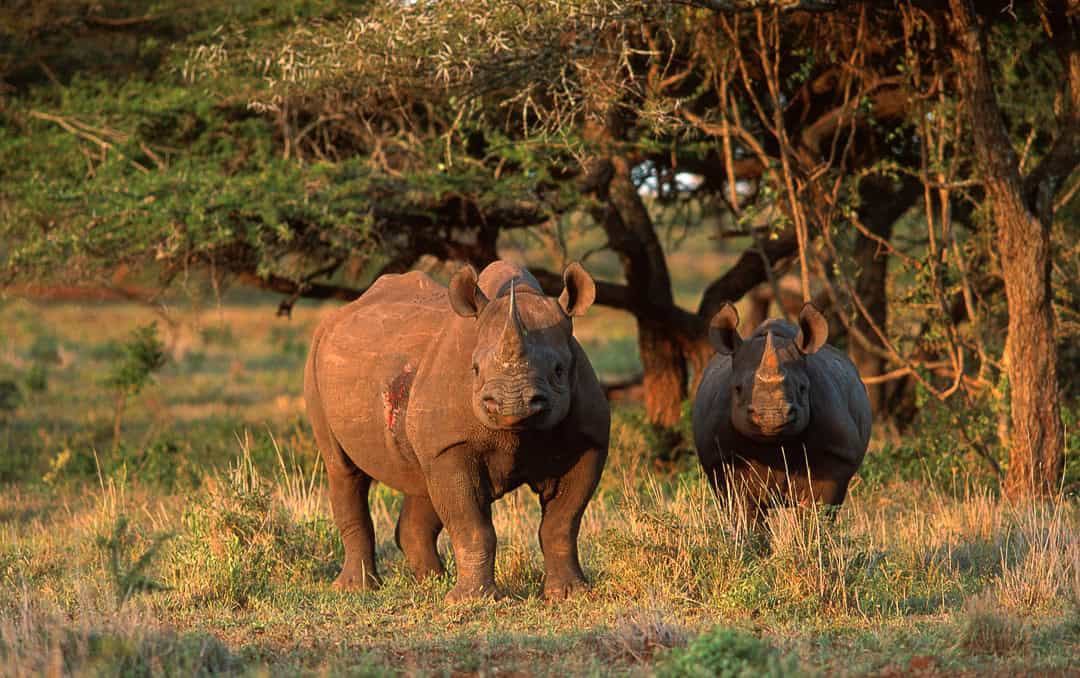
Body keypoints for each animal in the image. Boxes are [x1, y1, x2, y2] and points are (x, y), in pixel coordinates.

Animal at [304, 260, 609, 601]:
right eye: (474, 370)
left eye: (559, 370)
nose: (511, 403)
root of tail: (340, 314)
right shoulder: (452, 445)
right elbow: (472, 526)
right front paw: (472, 599)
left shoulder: (587, 443)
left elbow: (562, 524)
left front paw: (570, 593)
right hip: (315, 360)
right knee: (344, 470)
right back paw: (356, 589)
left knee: (421, 478)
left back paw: (431, 582)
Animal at [692, 302, 871, 521]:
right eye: (737, 389)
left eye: (803, 388)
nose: (771, 416)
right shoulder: (722, 459)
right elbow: (745, 512)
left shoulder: (836, 453)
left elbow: (816, 512)